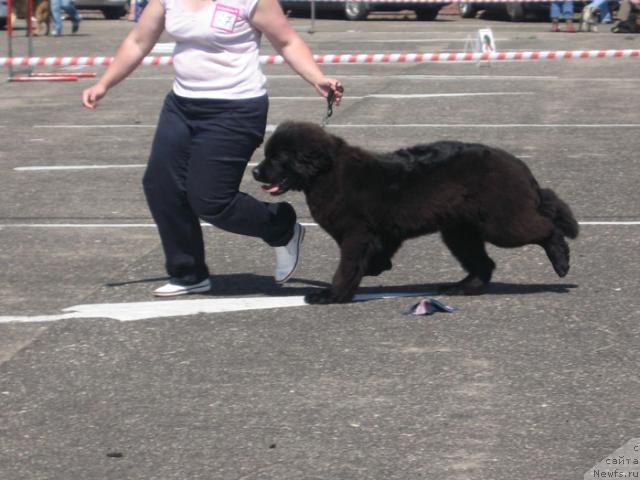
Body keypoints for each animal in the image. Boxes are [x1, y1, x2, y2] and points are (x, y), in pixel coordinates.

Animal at [251, 122, 580, 306]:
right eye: (267, 155)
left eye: (277, 158)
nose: (254, 172)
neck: (326, 174)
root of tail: (516, 164)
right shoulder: (381, 232)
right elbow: (374, 256)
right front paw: (374, 269)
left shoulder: (356, 233)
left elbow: (347, 266)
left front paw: (332, 296)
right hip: (460, 231)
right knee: (484, 264)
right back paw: (461, 288)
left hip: (501, 221)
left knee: (545, 226)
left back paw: (561, 261)